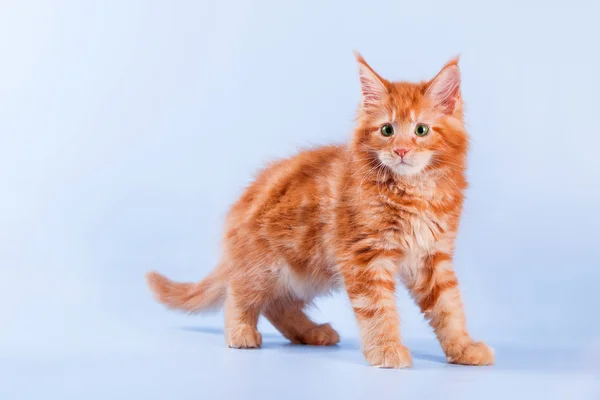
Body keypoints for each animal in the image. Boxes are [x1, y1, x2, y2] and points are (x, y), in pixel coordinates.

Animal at [145, 53, 492, 368]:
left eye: (421, 130)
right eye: (387, 130)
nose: (401, 151)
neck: (414, 191)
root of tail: (239, 208)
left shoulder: (433, 256)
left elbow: (449, 308)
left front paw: (463, 348)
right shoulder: (363, 257)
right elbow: (377, 309)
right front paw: (387, 350)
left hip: (309, 271)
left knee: (277, 305)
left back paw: (311, 333)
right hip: (269, 265)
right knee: (240, 293)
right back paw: (241, 332)